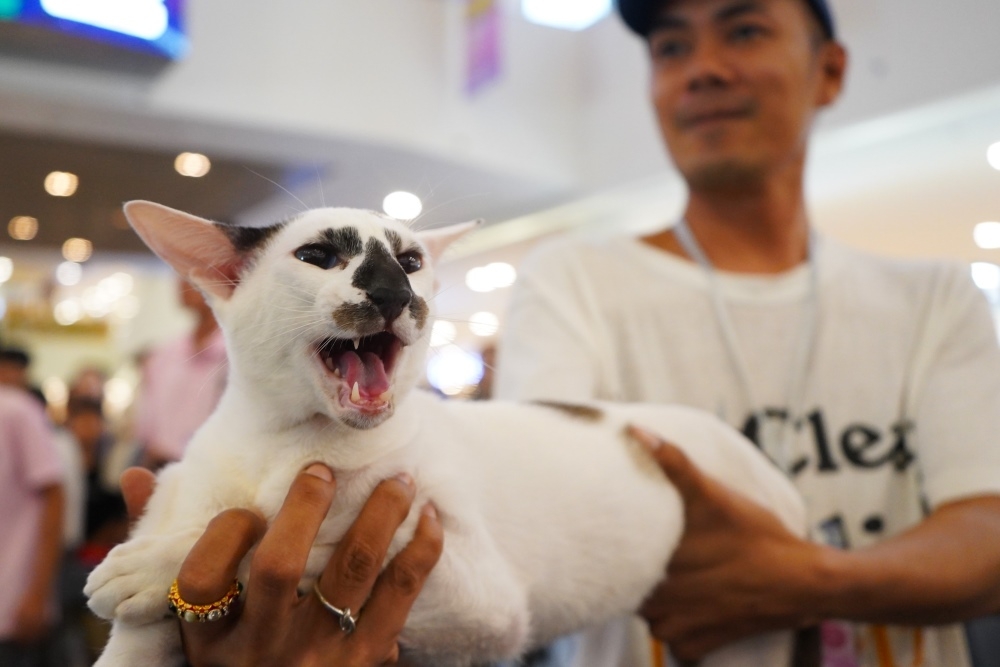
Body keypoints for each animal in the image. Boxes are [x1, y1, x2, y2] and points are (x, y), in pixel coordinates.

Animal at [84, 202, 804, 667]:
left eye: (410, 261)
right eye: (319, 256)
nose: (394, 291)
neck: (285, 440)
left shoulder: (482, 605)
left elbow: (290, 536)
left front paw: (149, 567)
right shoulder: (177, 490)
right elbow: (151, 615)